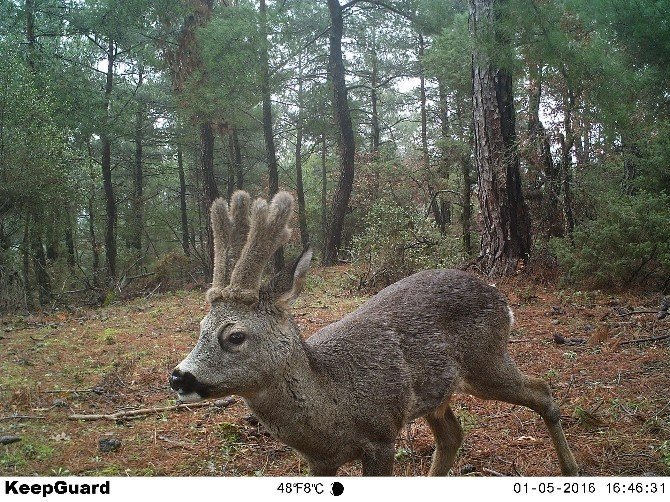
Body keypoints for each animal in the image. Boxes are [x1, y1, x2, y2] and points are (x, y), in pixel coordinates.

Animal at [171, 190, 580, 476]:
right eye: (201, 328)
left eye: (234, 336)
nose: (178, 376)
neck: (332, 405)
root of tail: (499, 296)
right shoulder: (319, 461)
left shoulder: (382, 435)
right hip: (438, 390)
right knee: (452, 435)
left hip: (487, 360)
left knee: (542, 390)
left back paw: (570, 468)